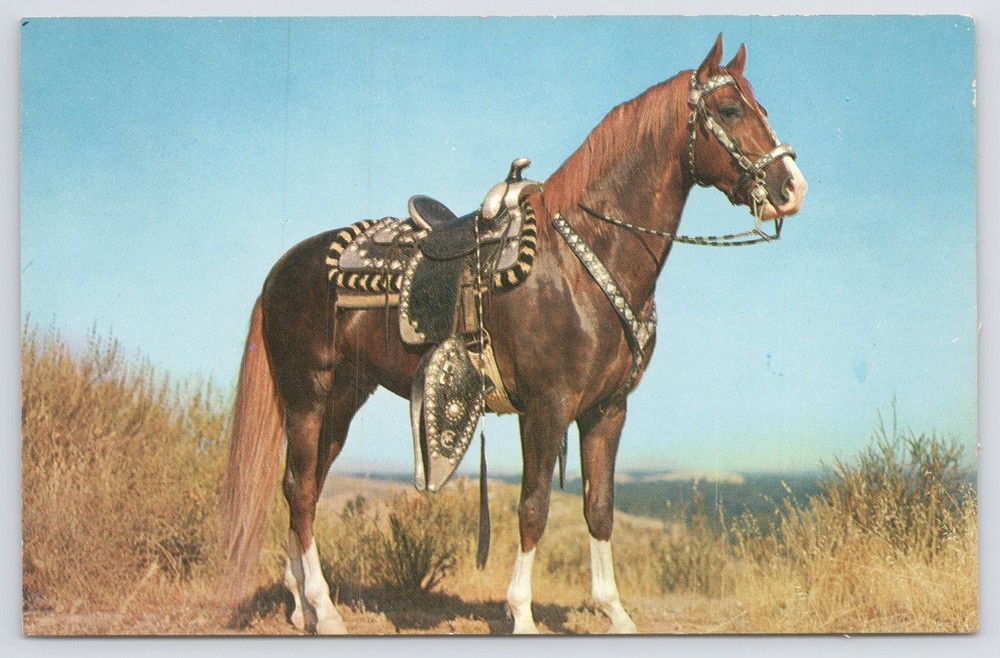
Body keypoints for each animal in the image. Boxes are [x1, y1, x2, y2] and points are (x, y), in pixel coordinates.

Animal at [221, 34, 807, 634]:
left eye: (760, 108)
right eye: (730, 110)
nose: (791, 188)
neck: (580, 262)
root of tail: (283, 269)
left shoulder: (607, 410)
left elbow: (600, 508)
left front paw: (614, 611)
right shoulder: (547, 408)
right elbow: (533, 507)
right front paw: (521, 615)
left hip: (342, 399)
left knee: (306, 486)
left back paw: (301, 605)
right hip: (308, 394)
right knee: (299, 490)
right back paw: (324, 608)